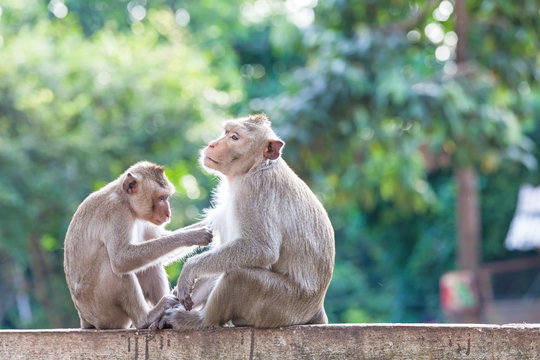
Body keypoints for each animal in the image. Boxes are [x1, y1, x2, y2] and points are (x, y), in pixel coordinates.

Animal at [64, 160, 212, 330]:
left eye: (166, 197)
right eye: (162, 198)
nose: (168, 214)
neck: (126, 202)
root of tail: (84, 319)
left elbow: (159, 245)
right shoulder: (116, 212)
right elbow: (121, 259)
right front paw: (193, 236)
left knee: (150, 263)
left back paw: (162, 319)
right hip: (101, 309)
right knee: (110, 261)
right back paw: (145, 319)